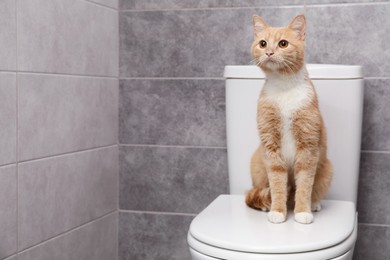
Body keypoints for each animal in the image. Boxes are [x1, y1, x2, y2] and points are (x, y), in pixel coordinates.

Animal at [247, 14, 332, 224]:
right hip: (257, 162)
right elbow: (277, 184)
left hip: (328, 170)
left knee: (315, 191)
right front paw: (277, 211)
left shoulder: (308, 147)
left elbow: (304, 186)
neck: (283, 86)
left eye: (283, 43)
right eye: (262, 43)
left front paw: (302, 212)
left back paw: (314, 204)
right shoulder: (270, 146)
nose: (269, 52)